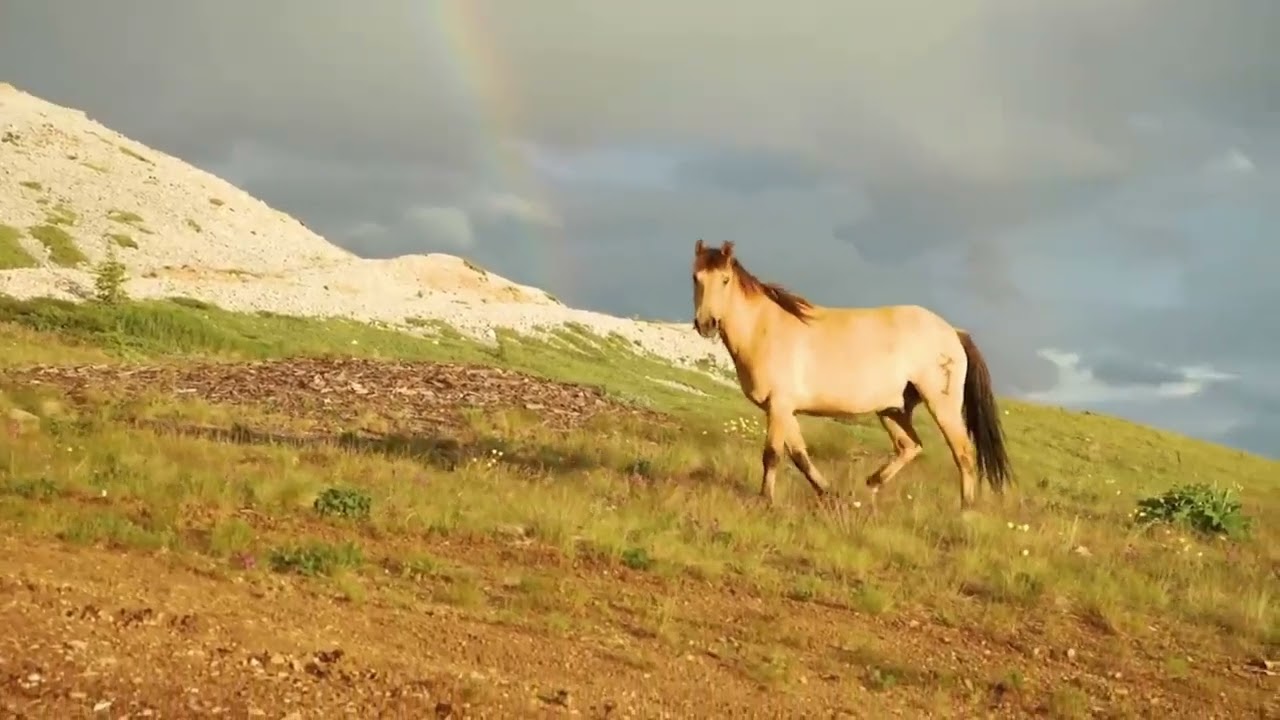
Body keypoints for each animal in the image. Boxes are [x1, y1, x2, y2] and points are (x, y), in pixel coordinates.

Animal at [690, 239, 1011, 510]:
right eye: (696, 278)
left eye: (725, 279)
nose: (706, 324)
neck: (765, 328)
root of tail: (954, 332)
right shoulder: (783, 408)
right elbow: (800, 455)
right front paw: (827, 492)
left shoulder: (779, 405)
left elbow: (772, 455)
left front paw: (765, 499)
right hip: (893, 409)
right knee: (910, 446)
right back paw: (871, 484)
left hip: (942, 405)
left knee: (963, 453)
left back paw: (965, 510)